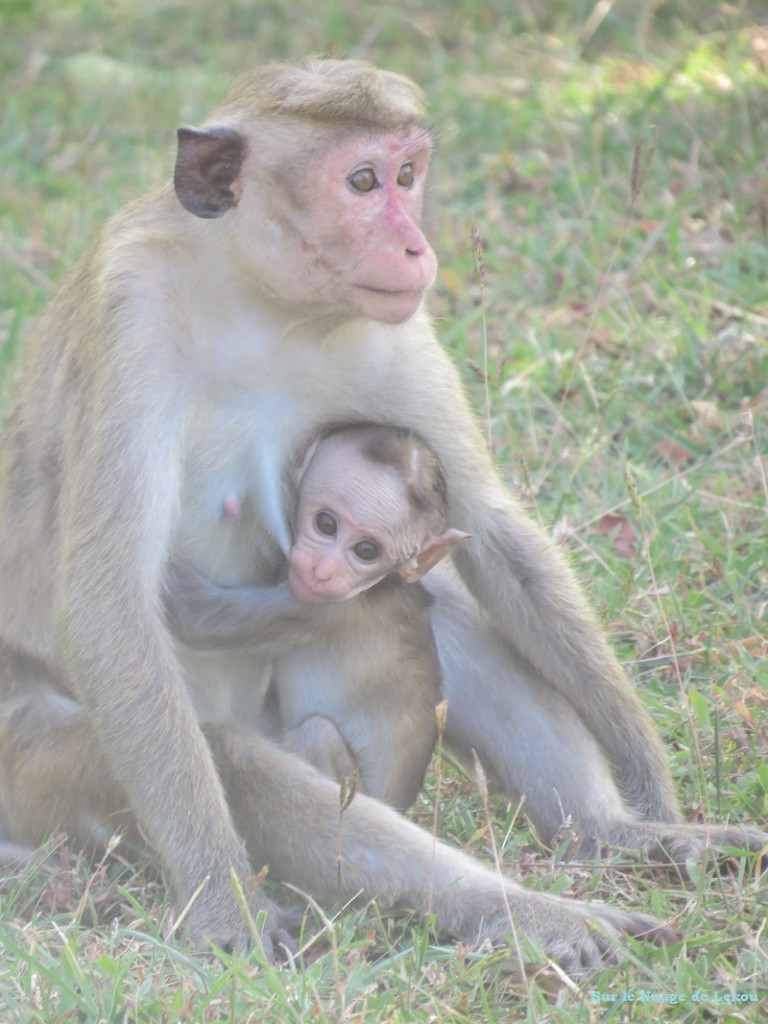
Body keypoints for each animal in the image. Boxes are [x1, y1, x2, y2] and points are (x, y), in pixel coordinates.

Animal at [169, 423, 468, 806]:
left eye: (366, 550)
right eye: (326, 523)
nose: (323, 571)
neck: (378, 586)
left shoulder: (325, 610)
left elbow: (198, 619)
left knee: (317, 731)